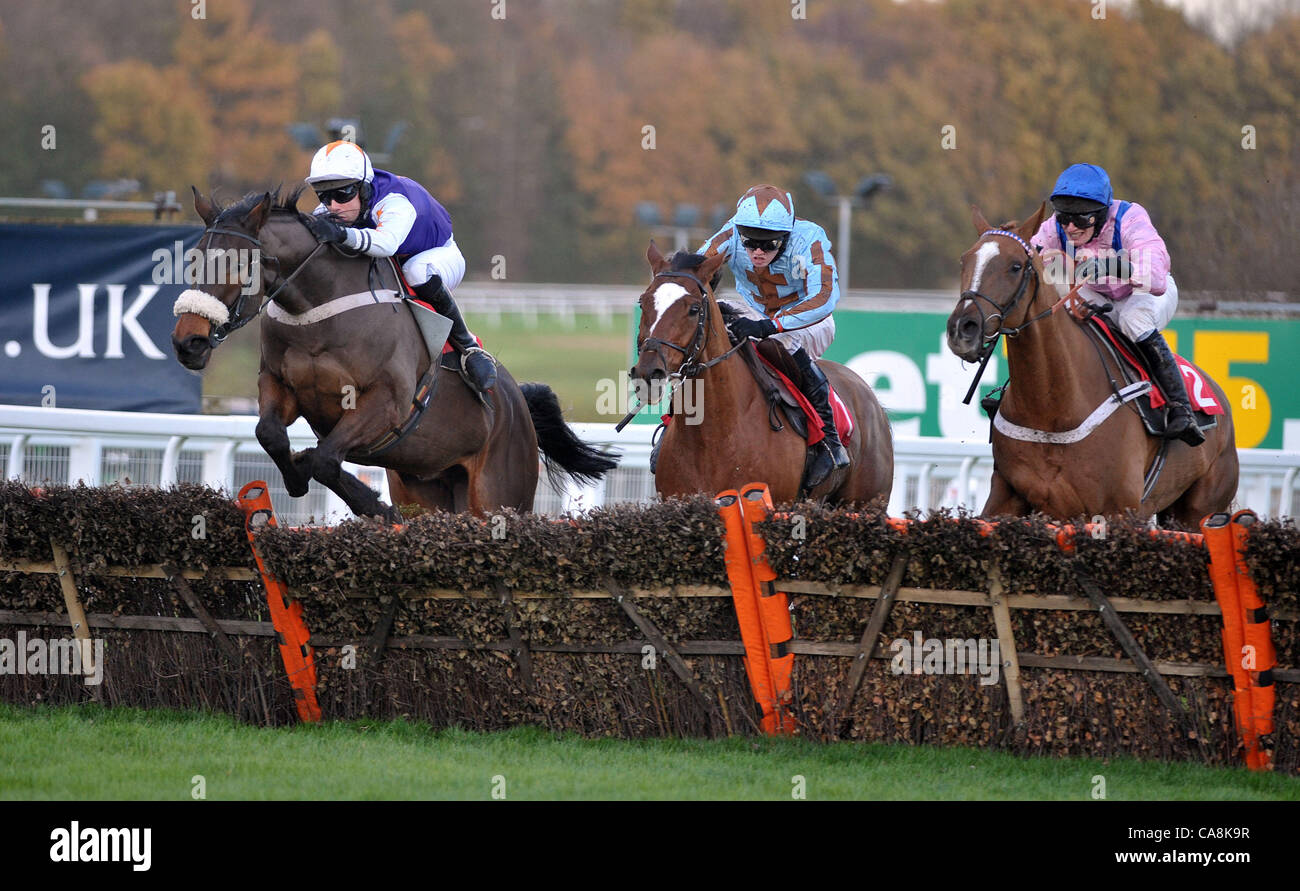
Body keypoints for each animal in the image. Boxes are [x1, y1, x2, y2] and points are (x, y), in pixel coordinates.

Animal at [172, 189, 618, 520]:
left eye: (237, 266)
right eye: (193, 260)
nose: (187, 342)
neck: (319, 311)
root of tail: (516, 403)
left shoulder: (387, 403)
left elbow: (326, 458)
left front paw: (369, 503)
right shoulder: (279, 384)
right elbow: (270, 434)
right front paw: (297, 475)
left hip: (499, 492)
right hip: (426, 486)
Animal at [629, 241, 894, 507]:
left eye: (694, 309)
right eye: (643, 302)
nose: (649, 371)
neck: (714, 435)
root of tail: (871, 397)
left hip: (865, 502)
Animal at [946, 202, 1237, 520]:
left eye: (1015, 266)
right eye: (964, 261)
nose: (962, 328)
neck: (1051, 410)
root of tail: (1219, 394)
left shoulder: (1117, 509)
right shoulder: (1006, 498)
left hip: (1200, 508)